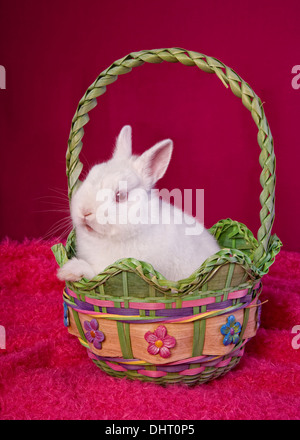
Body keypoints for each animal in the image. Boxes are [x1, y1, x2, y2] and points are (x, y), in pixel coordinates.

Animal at [56, 125, 220, 282]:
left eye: (121, 196)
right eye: (90, 175)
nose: (84, 211)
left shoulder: (113, 267)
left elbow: (94, 272)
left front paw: (69, 271)